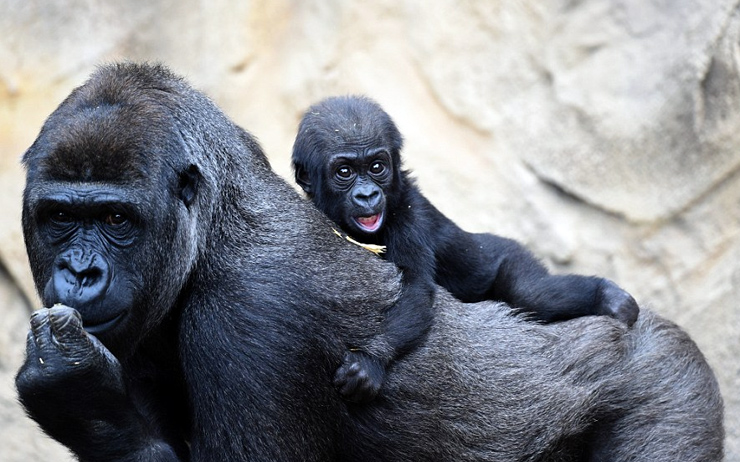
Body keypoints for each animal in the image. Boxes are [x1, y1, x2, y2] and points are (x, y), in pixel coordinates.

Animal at [292, 94, 640, 404]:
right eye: (345, 172)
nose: (367, 195)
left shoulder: (410, 215)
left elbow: (416, 290)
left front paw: (371, 361)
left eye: (377, 166)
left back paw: (608, 296)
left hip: (508, 254)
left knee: (531, 291)